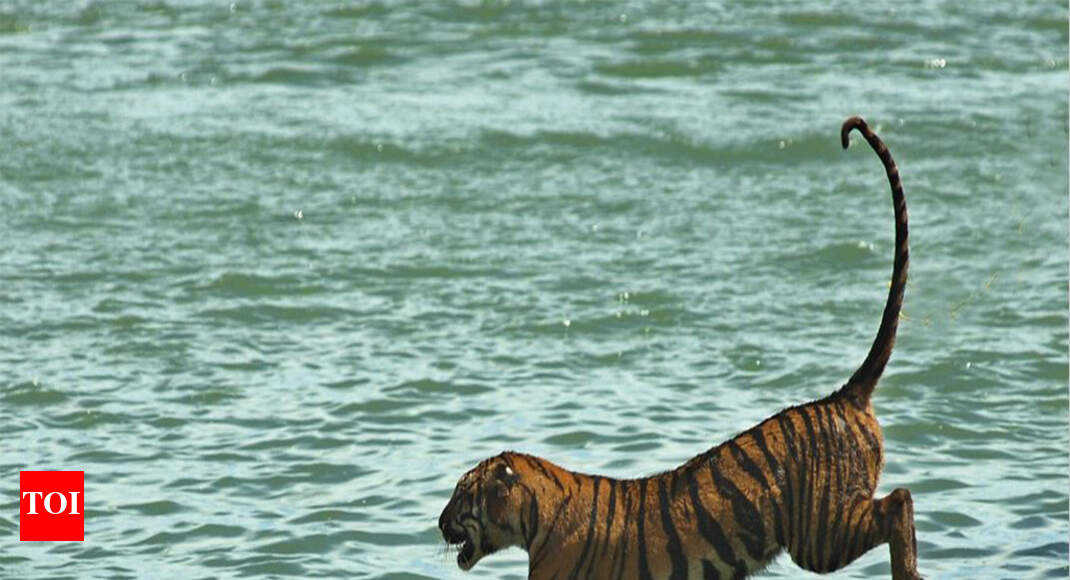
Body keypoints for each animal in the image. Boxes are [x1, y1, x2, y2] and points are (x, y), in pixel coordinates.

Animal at [438, 116, 922, 580]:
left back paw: (908, 571)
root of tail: (844, 395)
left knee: (900, 499)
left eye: (462, 494)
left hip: (820, 534)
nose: (438, 523)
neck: (534, 519)